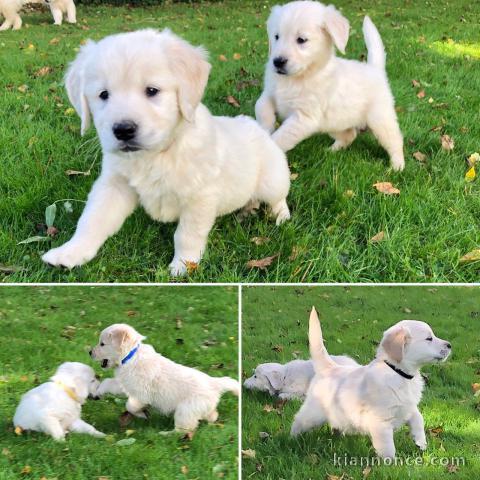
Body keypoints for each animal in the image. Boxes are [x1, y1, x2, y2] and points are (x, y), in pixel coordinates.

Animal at [42, 29, 288, 278]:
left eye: (152, 91)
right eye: (103, 94)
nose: (123, 130)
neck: (156, 155)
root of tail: (258, 128)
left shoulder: (200, 196)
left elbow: (187, 234)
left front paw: (183, 266)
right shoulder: (114, 185)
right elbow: (92, 219)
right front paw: (69, 252)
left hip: (271, 180)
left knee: (279, 196)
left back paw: (280, 215)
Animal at [90, 324, 240, 434]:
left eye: (102, 344)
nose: (89, 352)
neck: (130, 356)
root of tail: (214, 383)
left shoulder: (140, 393)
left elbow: (130, 406)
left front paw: (142, 414)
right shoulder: (125, 383)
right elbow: (108, 383)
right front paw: (98, 392)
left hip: (186, 410)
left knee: (184, 429)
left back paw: (165, 434)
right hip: (200, 408)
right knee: (212, 415)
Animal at [255, 0, 404, 171]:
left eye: (301, 40)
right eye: (276, 37)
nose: (277, 62)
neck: (300, 76)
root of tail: (375, 69)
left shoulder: (304, 118)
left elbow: (279, 138)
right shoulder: (270, 94)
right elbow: (261, 106)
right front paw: (265, 127)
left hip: (380, 119)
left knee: (395, 140)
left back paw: (397, 166)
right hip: (334, 124)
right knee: (349, 135)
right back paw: (332, 150)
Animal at [290, 310, 452, 460]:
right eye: (429, 338)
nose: (450, 345)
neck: (398, 372)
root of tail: (329, 368)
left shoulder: (409, 406)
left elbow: (418, 418)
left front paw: (421, 442)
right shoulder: (381, 421)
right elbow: (388, 447)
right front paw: (391, 464)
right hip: (313, 413)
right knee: (298, 420)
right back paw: (292, 439)